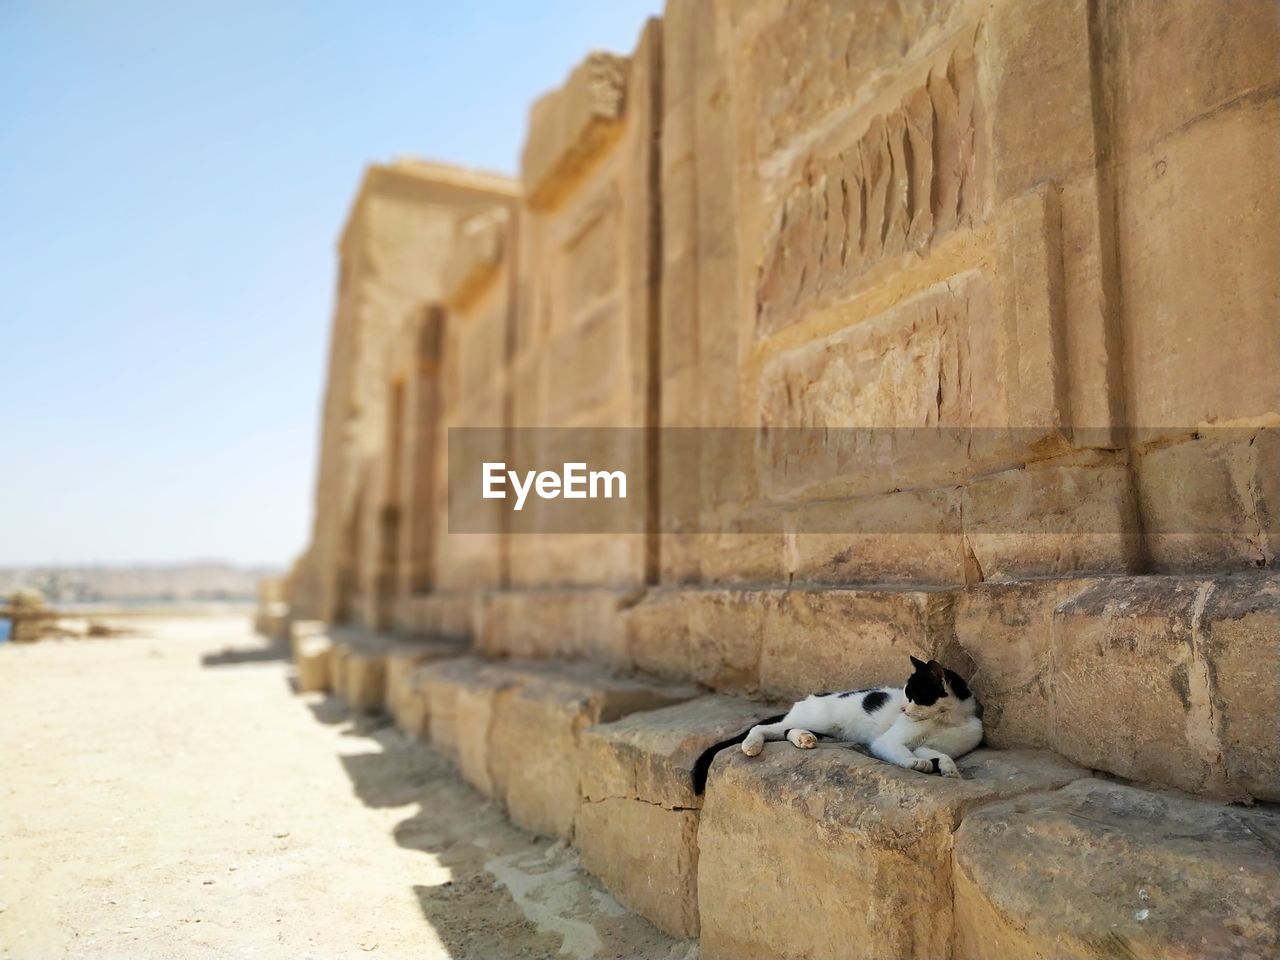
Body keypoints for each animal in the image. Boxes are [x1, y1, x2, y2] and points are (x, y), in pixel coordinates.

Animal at [737, 655, 983, 783]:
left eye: (914, 696)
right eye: (906, 694)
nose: (902, 709)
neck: (947, 720)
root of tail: (808, 697)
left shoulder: (931, 746)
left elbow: (940, 754)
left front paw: (949, 769)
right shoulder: (887, 741)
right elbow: (902, 752)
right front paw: (916, 763)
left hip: (825, 730)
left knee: (788, 731)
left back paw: (804, 739)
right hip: (818, 719)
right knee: (765, 727)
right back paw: (751, 745)